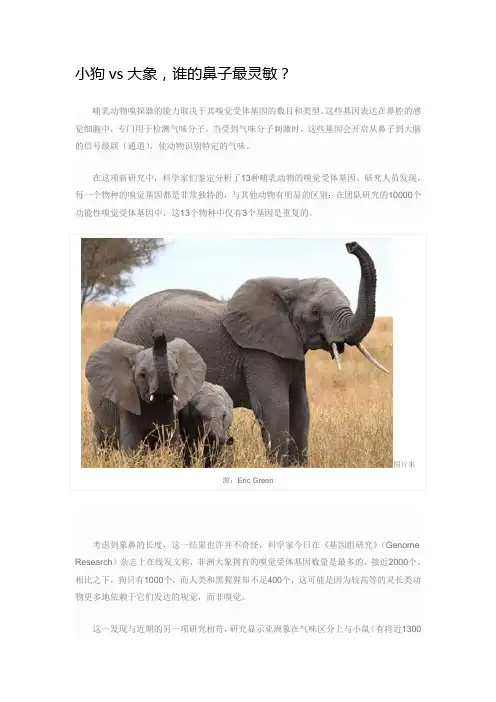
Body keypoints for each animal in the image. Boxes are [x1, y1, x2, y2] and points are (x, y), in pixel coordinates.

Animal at [102, 241, 388, 466]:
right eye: (315, 312)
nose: (350, 245)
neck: (290, 286)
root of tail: (122, 321)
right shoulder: (258, 354)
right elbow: (276, 407)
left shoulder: (290, 349)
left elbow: (300, 407)